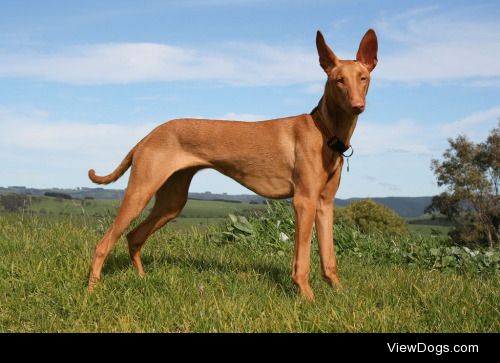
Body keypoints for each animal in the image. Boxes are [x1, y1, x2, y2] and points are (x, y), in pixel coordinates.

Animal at [89, 29, 378, 302]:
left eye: (363, 78)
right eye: (338, 80)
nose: (357, 106)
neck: (324, 130)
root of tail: (148, 136)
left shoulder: (324, 204)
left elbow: (329, 259)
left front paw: (340, 294)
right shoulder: (304, 201)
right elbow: (302, 261)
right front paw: (308, 298)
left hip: (171, 202)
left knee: (134, 236)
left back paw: (141, 279)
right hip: (140, 193)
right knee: (103, 244)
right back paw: (92, 290)